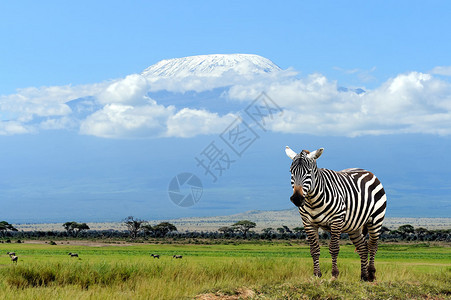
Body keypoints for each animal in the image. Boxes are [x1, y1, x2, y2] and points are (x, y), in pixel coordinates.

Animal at [288, 146, 386, 282]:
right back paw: (363, 277)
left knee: (373, 245)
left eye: (308, 172)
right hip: (354, 226)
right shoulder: (308, 223)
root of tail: (368, 172)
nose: (297, 198)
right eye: (291, 172)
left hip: (376, 219)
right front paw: (317, 275)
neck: (312, 201)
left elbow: (334, 248)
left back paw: (371, 274)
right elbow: (314, 249)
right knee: (363, 247)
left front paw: (334, 274)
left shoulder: (336, 220)